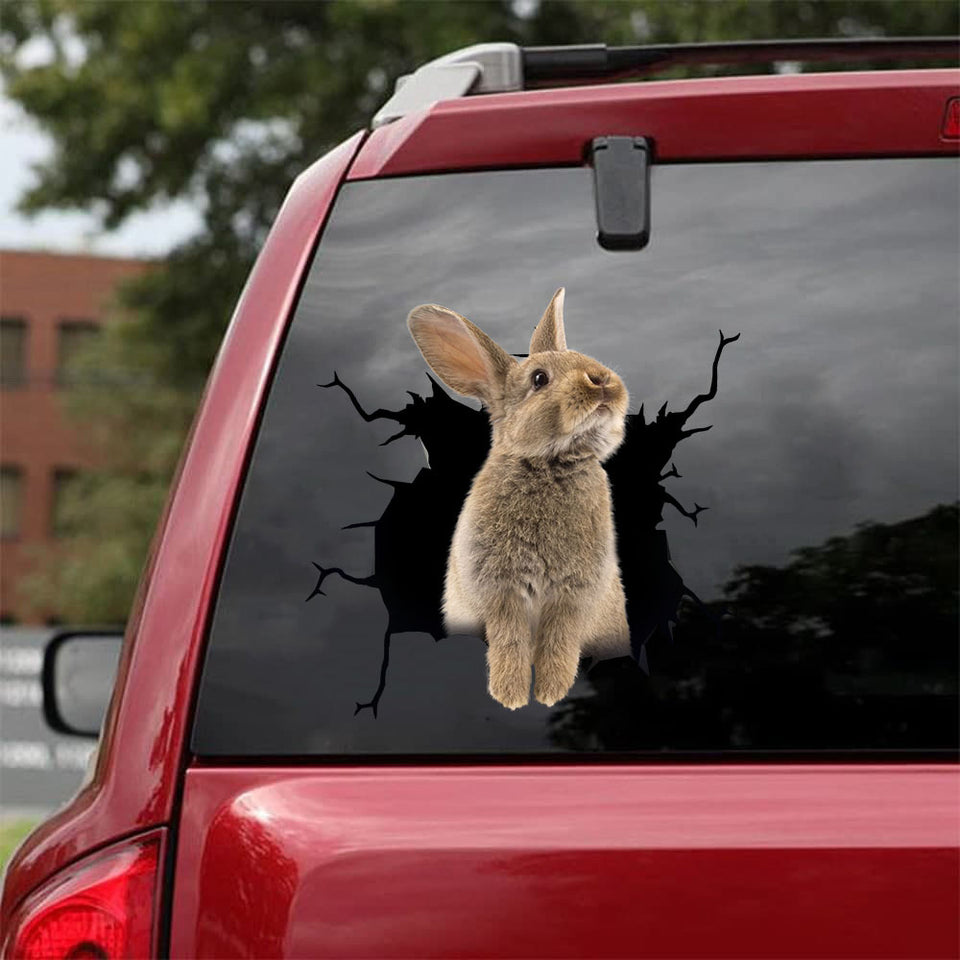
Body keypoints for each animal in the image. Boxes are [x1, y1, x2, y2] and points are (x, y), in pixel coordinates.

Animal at [407, 288, 631, 709]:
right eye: (539, 379)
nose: (602, 380)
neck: (549, 464)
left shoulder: (575, 591)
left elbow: (560, 640)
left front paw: (549, 694)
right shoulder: (500, 588)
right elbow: (510, 640)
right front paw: (511, 696)